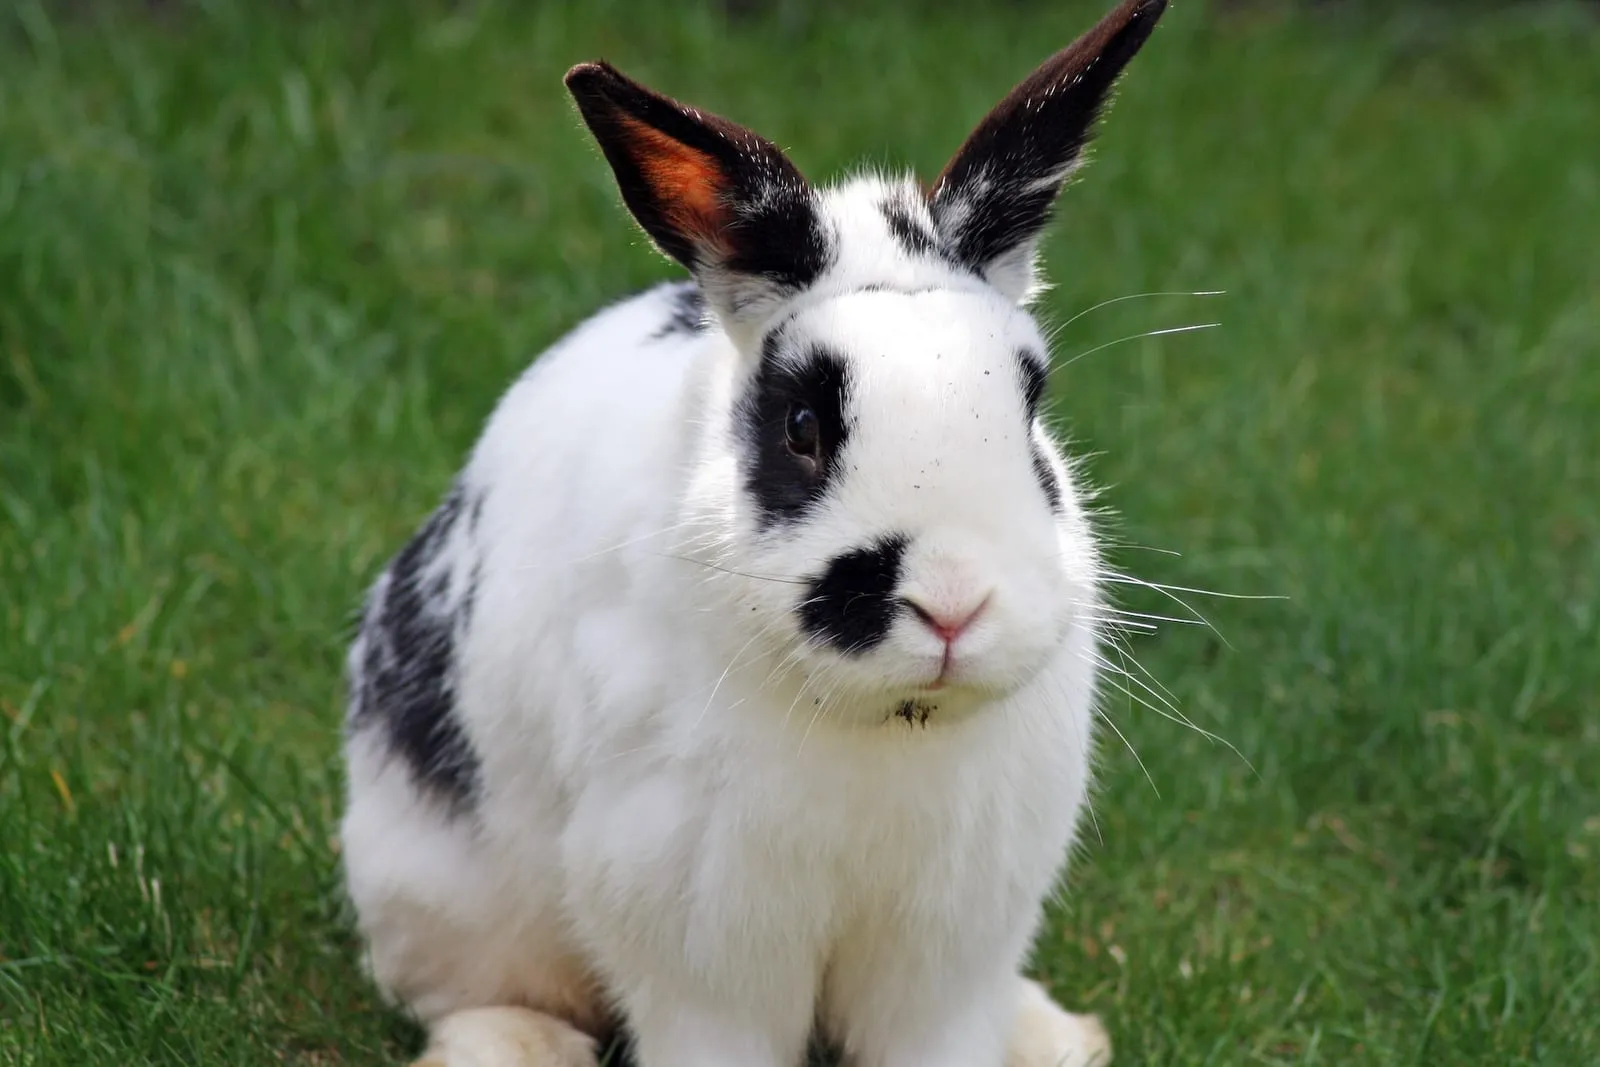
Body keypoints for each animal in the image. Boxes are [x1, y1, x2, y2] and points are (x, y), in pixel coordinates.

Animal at [338, 2, 1169, 1066]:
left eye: (1031, 405)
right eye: (801, 427)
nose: (951, 605)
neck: (886, 721)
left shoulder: (950, 940)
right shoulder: (697, 918)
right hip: (440, 882)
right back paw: (514, 1044)